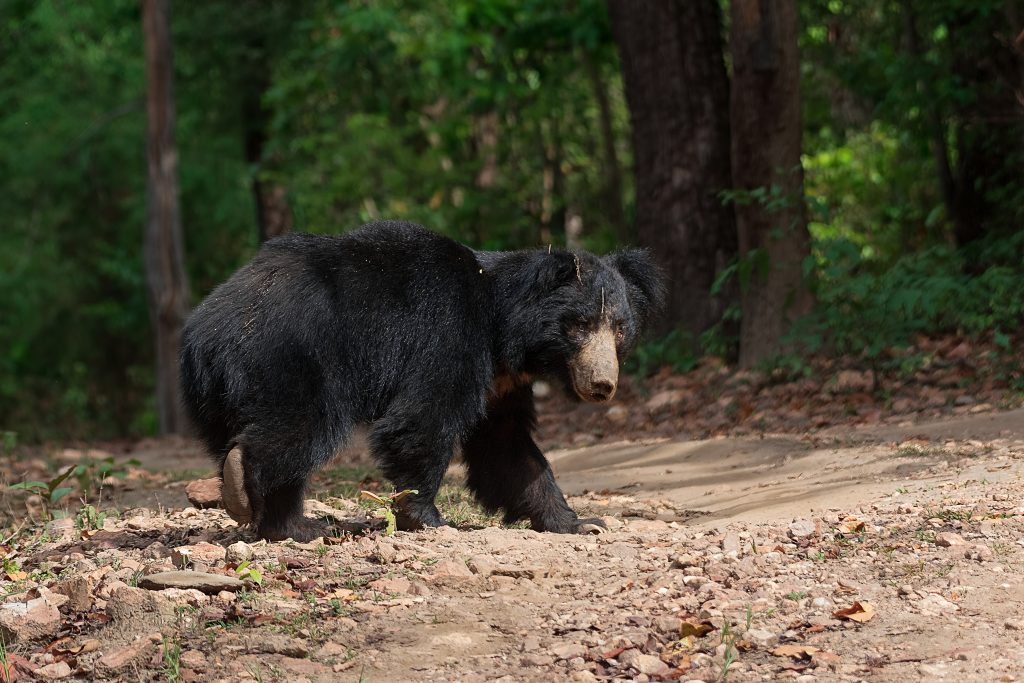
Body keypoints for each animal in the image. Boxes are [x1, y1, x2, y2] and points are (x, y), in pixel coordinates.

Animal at [180, 222, 663, 540]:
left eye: (620, 329)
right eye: (579, 326)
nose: (602, 385)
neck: (505, 333)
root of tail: (205, 329)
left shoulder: (502, 384)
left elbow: (508, 450)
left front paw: (579, 522)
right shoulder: (448, 332)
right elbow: (424, 417)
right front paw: (425, 516)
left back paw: (292, 526)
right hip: (294, 356)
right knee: (301, 427)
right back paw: (245, 489)